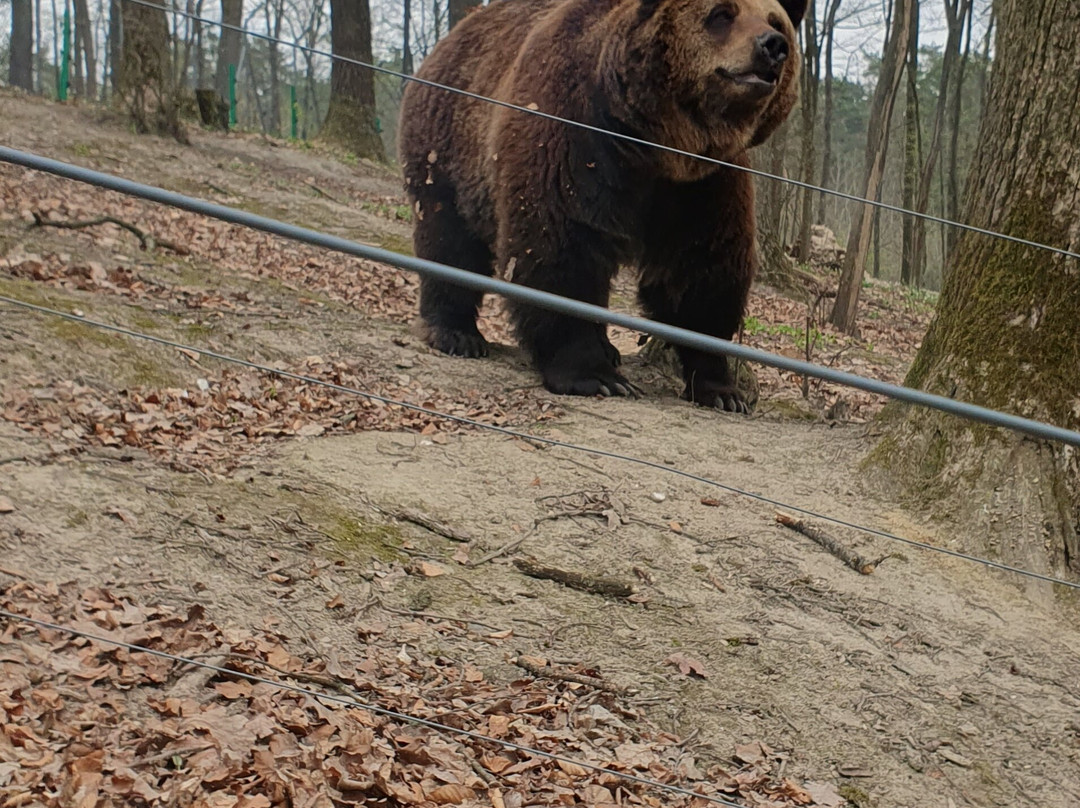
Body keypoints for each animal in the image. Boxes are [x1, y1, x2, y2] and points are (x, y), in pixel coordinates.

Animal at [397, 0, 806, 412]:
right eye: (722, 14)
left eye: (775, 21)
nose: (773, 45)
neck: (655, 143)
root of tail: (456, 33)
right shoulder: (574, 132)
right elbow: (562, 246)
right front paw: (594, 375)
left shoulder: (704, 181)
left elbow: (703, 268)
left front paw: (721, 389)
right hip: (448, 141)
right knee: (448, 236)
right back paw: (455, 333)